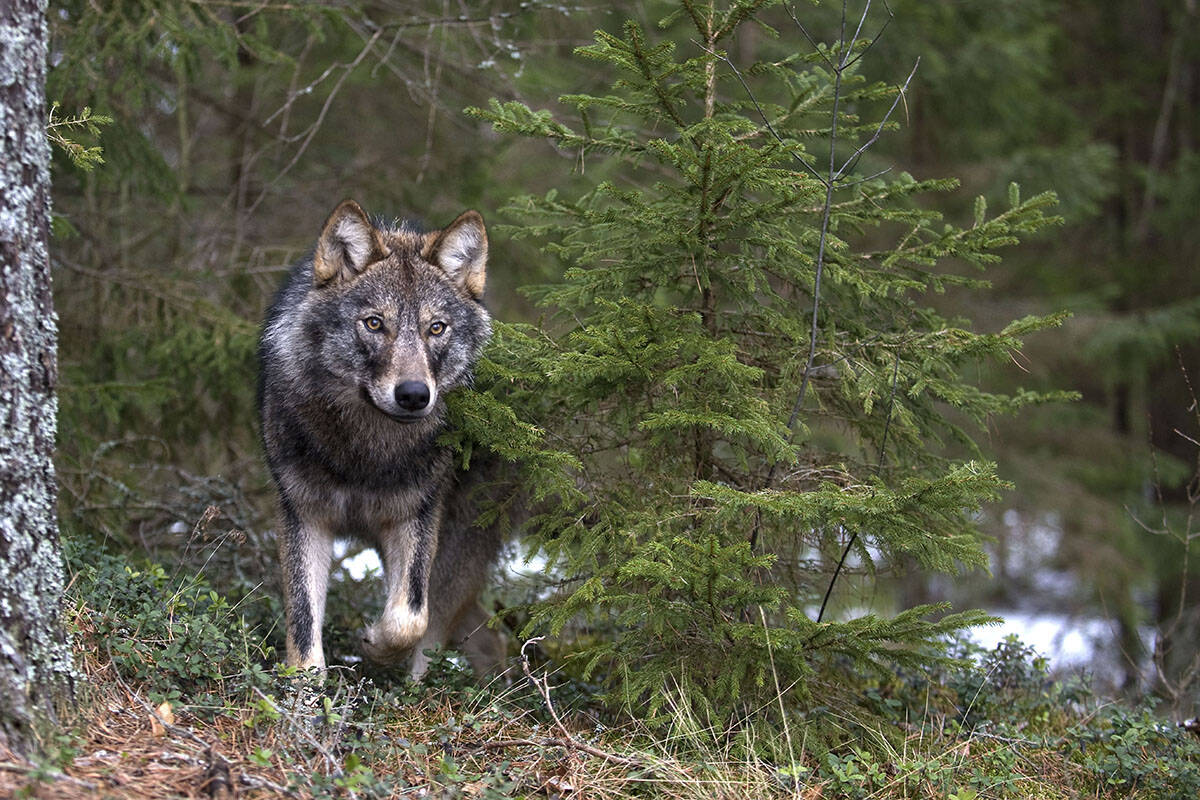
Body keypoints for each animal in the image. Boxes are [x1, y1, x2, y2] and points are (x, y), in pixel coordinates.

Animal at [258, 199, 504, 678]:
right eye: (374, 324)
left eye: (436, 328)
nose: (413, 395)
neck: (365, 454)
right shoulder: (303, 514)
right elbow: (302, 619)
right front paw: (306, 689)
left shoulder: (417, 516)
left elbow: (409, 617)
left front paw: (373, 647)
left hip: (452, 550)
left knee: (443, 629)